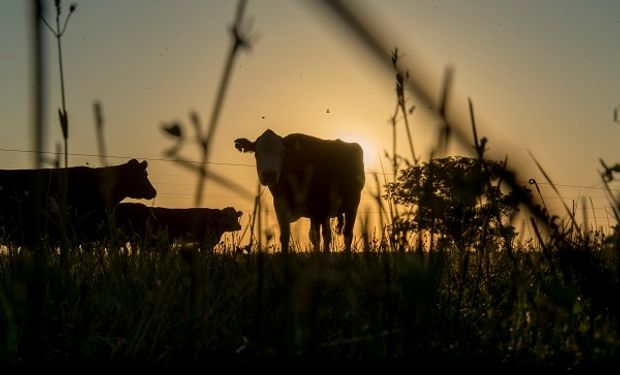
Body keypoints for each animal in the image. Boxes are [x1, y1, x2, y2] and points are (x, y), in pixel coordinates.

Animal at [235, 128, 366, 254]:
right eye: (256, 153)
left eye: (282, 152)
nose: (269, 174)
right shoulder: (280, 206)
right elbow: (287, 236)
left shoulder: (320, 207)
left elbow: (324, 235)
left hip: (352, 205)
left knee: (346, 234)